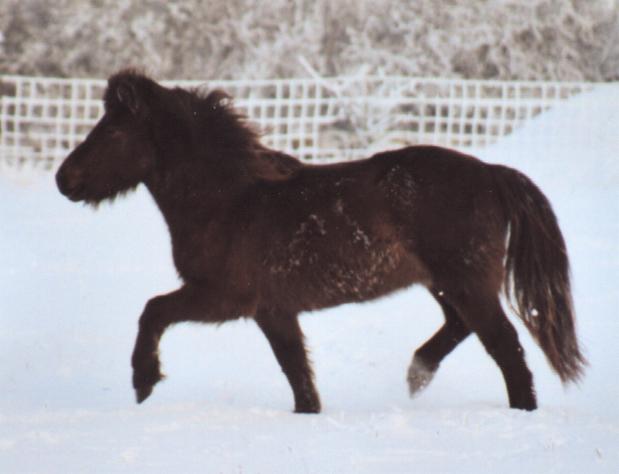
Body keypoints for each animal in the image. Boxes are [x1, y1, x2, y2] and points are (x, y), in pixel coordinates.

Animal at [57, 69, 588, 412]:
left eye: (115, 130)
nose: (64, 179)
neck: (229, 200)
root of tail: (491, 173)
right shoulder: (272, 310)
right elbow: (299, 376)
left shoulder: (224, 298)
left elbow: (153, 311)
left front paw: (143, 381)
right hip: (444, 282)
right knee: (462, 328)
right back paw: (417, 374)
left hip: (465, 280)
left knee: (506, 347)